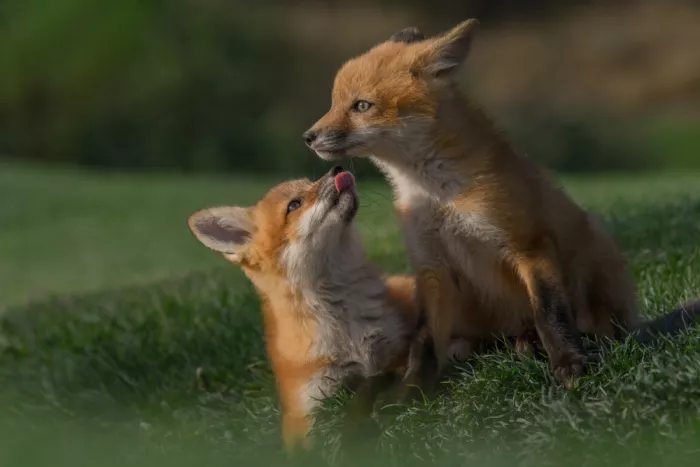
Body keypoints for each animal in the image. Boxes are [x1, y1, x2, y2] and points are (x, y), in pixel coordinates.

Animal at [187, 166, 422, 452]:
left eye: (310, 182)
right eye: (294, 205)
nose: (337, 169)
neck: (347, 331)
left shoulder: (395, 347)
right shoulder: (305, 408)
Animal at [303, 19, 700, 389]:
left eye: (362, 106)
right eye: (335, 103)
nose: (308, 137)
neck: (437, 196)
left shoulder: (529, 246)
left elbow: (551, 313)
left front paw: (570, 364)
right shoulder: (431, 267)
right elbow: (424, 341)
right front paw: (411, 391)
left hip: (597, 245)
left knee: (604, 330)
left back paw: (571, 342)